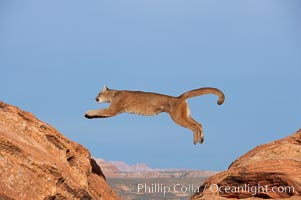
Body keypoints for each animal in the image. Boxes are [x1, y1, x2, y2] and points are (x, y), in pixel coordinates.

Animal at [84, 85, 223, 145]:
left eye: (99, 93)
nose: (95, 98)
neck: (114, 94)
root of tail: (179, 97)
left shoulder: (113, 109)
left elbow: (100, 111)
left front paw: (88, 113)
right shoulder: (112, 111)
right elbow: (100, 114)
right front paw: (90, 116)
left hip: (178, 118)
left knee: (194, 126)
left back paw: (195, 140)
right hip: (185, 115)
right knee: (199, 124)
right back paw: (201, 139)